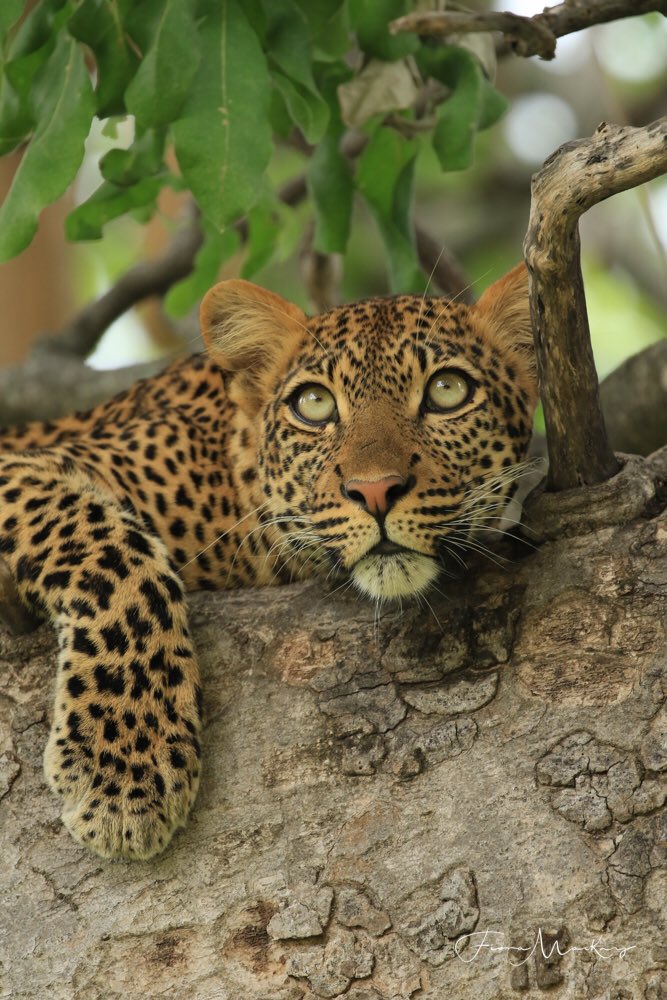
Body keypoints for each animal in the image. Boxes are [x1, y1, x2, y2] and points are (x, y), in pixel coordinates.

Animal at [0, 262, 538, 860]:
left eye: (448, 391)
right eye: (314, 403)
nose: (376, 491)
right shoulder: (27, 464)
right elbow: (111, 553)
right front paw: (123, 767)